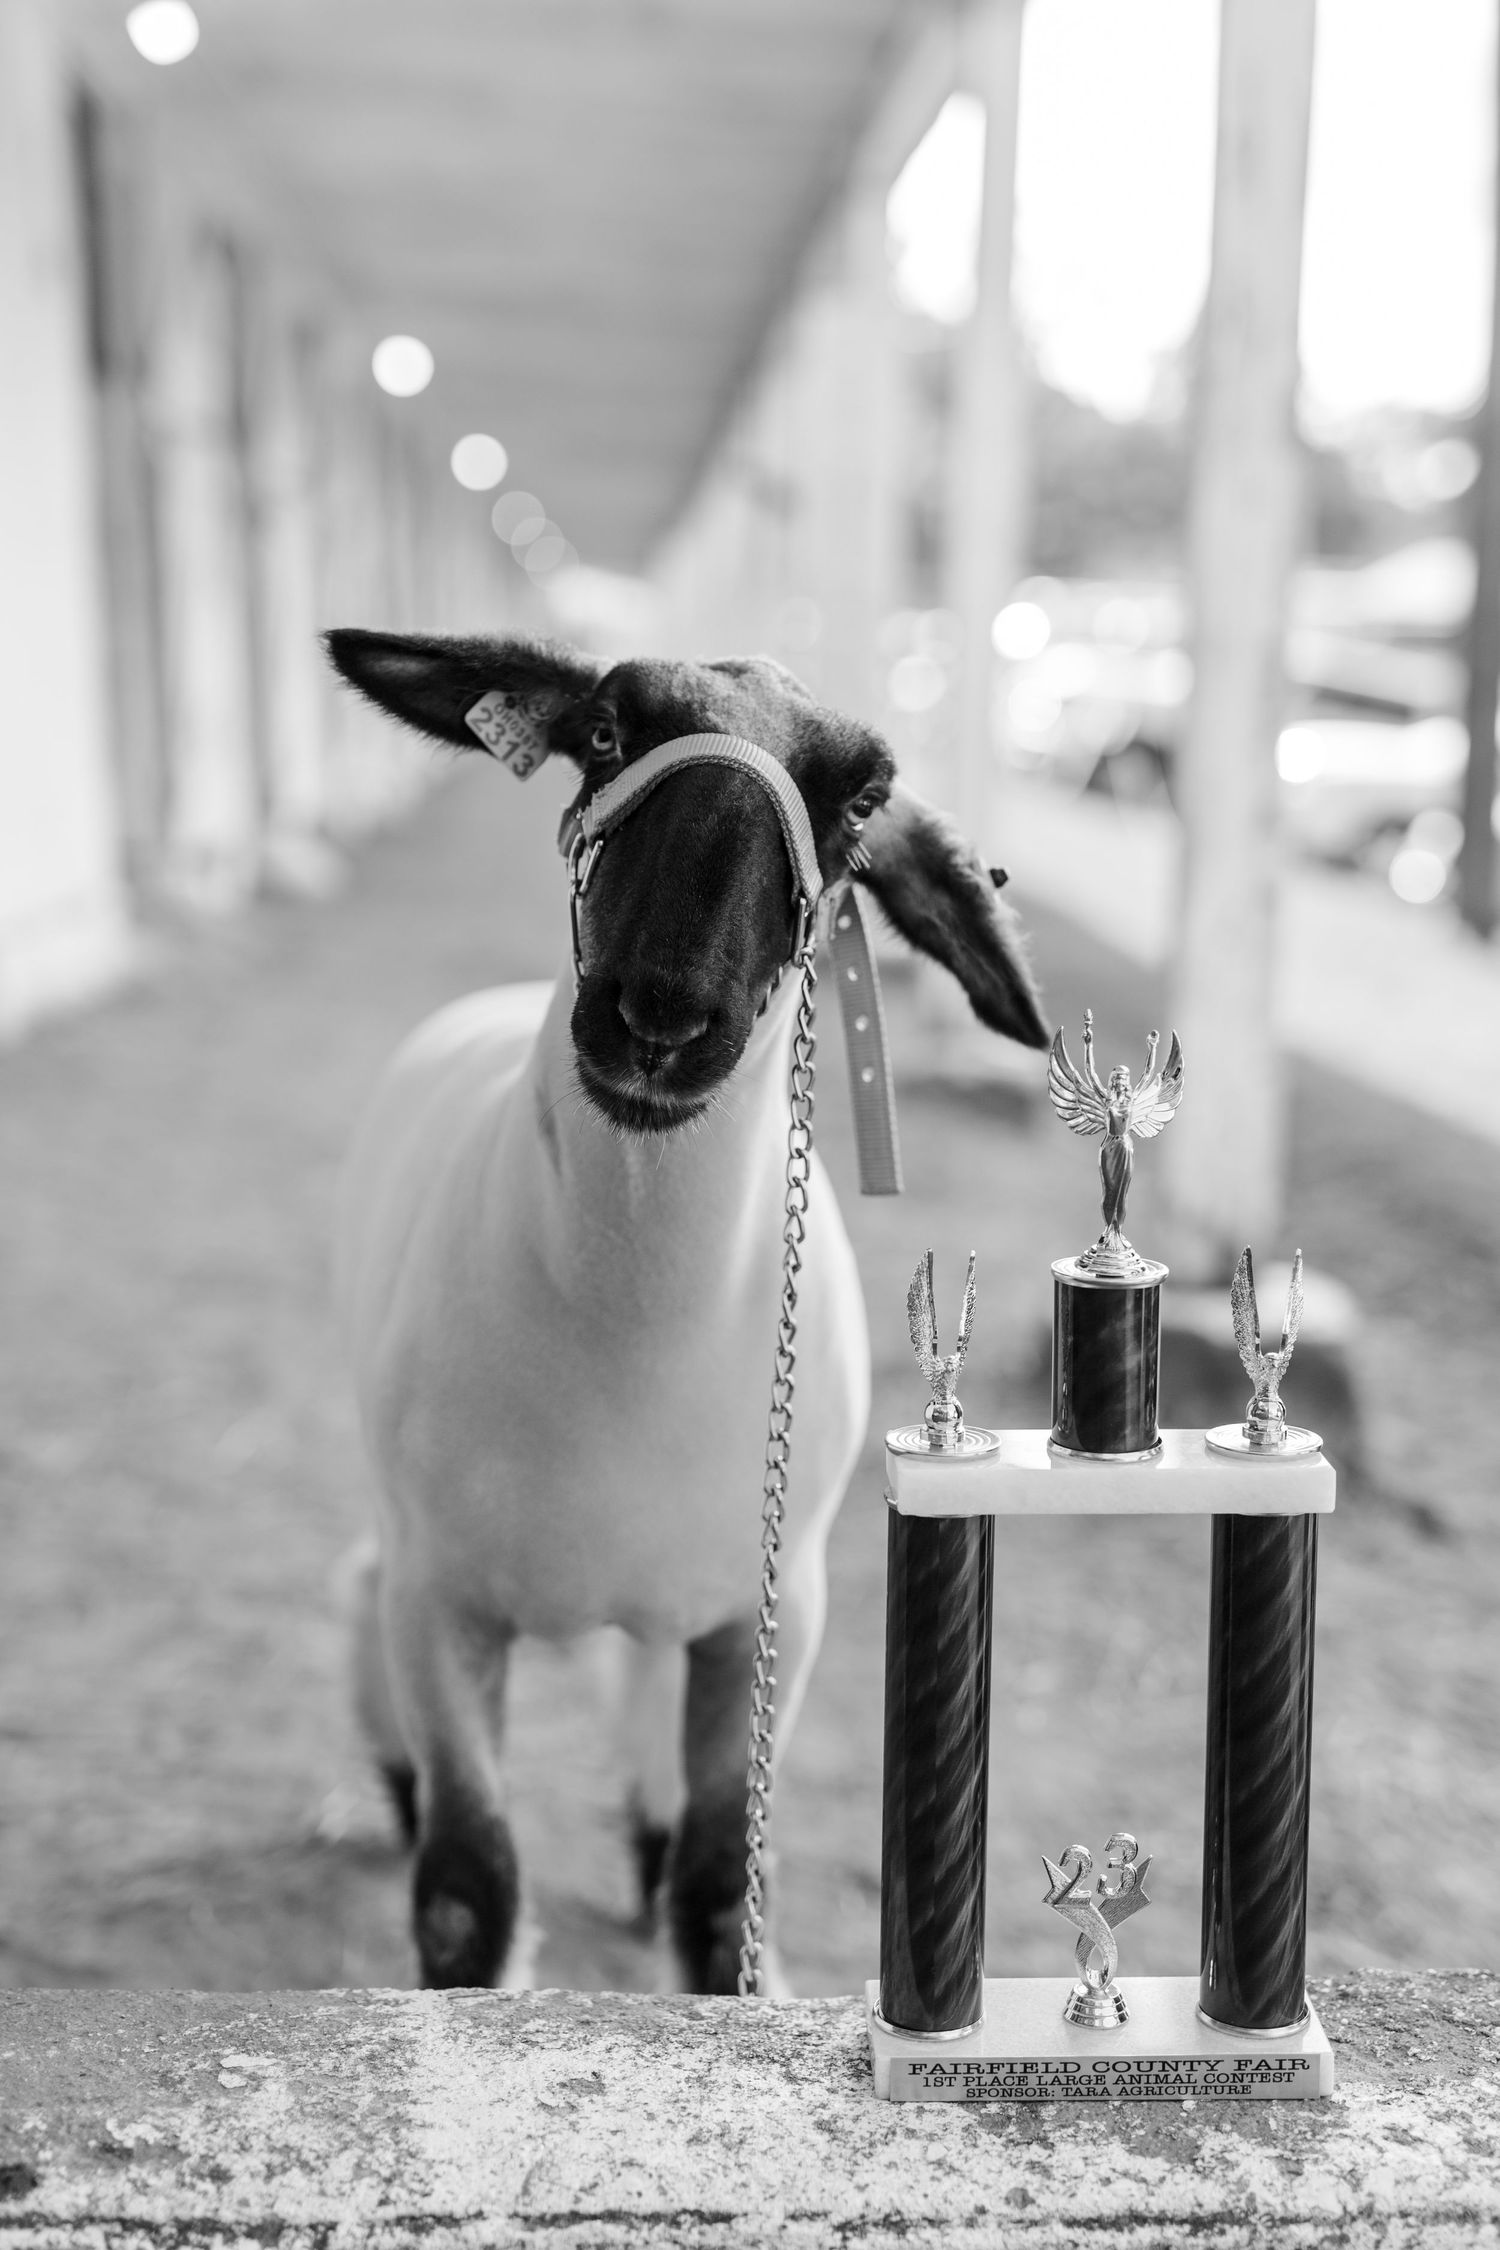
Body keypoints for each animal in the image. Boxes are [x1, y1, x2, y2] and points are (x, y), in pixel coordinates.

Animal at [324, 628, 1049, 1993]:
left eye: (863, 802)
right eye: (606, 731)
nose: (658, 1015)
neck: (632, 1335)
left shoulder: (774, 1612)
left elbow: (722, 1891)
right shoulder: (440, 1603)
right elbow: (464, 1896)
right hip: (401, 1556)